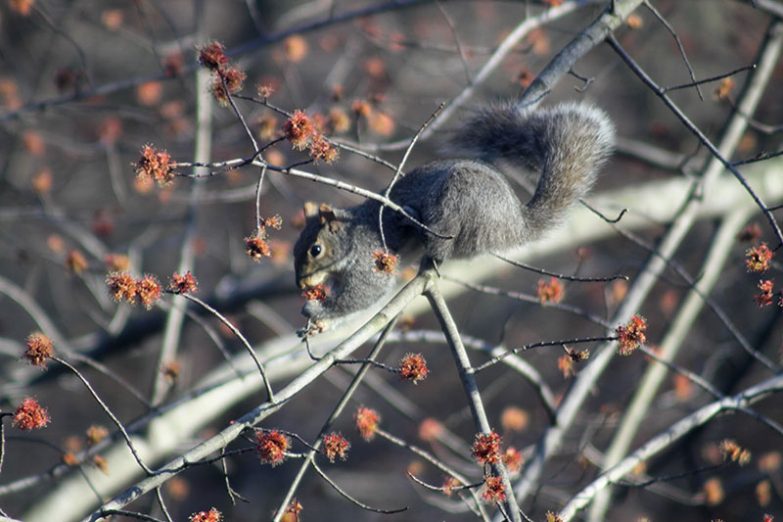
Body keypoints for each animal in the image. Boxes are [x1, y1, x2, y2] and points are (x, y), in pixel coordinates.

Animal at [292, 101, 612, 328]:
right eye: (295, 248)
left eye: (315, 249)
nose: (301, 286)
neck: (351, 235)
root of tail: (516, 225)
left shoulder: (368, 258)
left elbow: (364, 293)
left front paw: (316, 309)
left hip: (462, 199)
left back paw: (422, 231)